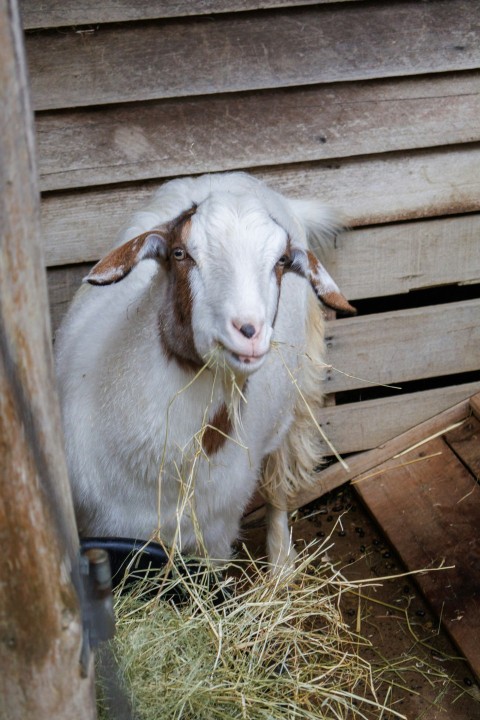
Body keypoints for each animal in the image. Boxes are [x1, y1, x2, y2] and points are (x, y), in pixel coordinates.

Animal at [57, 173, 356, 568]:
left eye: (281, 261)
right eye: (180, 254)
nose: (249, 330)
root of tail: (236, 178)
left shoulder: (214, 541)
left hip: (298, 393)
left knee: (278, 479)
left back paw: (280, 564)